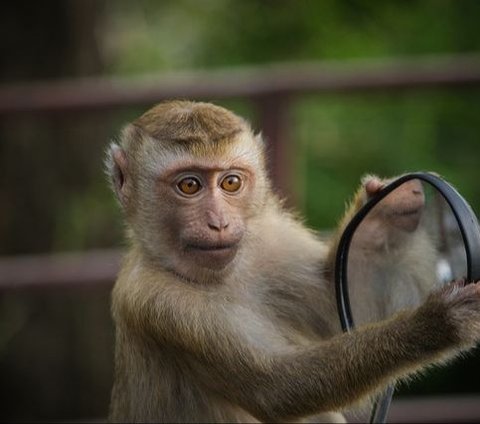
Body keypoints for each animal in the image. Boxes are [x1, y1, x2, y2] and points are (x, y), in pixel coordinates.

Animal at [107, 101, 480, 422]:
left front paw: (383, 214)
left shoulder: (271, 240)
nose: (219, 223)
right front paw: (436, 323)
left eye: (231, 182)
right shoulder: (157, 302)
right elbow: (278, 388)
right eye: (188, 185)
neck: (221, 277)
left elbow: (339, 302)